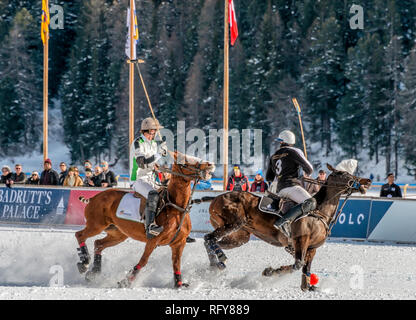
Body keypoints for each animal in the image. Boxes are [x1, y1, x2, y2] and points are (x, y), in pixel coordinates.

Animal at [75, 151, 216, 288]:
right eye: (185, 161)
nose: (210, 165)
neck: (177, 208)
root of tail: (94, 197)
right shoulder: (153, 240)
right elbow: (143, 261)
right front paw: (125, 281)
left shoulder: (179, 243)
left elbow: (176, 264)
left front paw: (179, 284)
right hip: (96, 225)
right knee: (80, 235)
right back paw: (84, 262)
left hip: (118, 233)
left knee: (98, 244)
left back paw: (93, 273)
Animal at [203, 164, 372, 292]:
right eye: (344, 173)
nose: (368, 181)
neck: (319, 212)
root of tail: (216, 197)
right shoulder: (301, 240)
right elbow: (298, 264)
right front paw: (269, 271)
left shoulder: (312, 248)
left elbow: (306, 269)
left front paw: (308, 286)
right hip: (234, 223)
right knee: (209, 238)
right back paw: (218, 261)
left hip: (240, 237)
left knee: (211, 240)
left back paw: (215, 264)